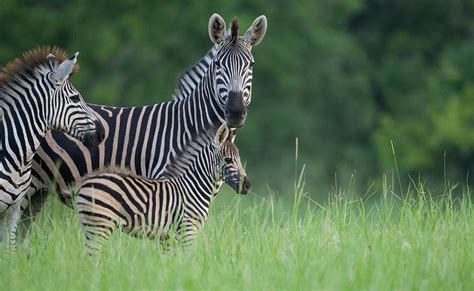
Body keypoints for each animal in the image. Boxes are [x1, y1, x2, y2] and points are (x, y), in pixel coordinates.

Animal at [20, 13, 266, 233]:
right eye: (218, 64)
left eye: (251, 65)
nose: (235, 111)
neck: (190, 126)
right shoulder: (161, 189)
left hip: (38, 191)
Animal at [76, 124, 250, 256]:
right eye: (228, 160)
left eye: (238, 159)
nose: (248, 185)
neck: (192, 187)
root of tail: (85, 183)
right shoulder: (187, 232)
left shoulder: (169, 238)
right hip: (99, 226)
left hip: (92, 228)